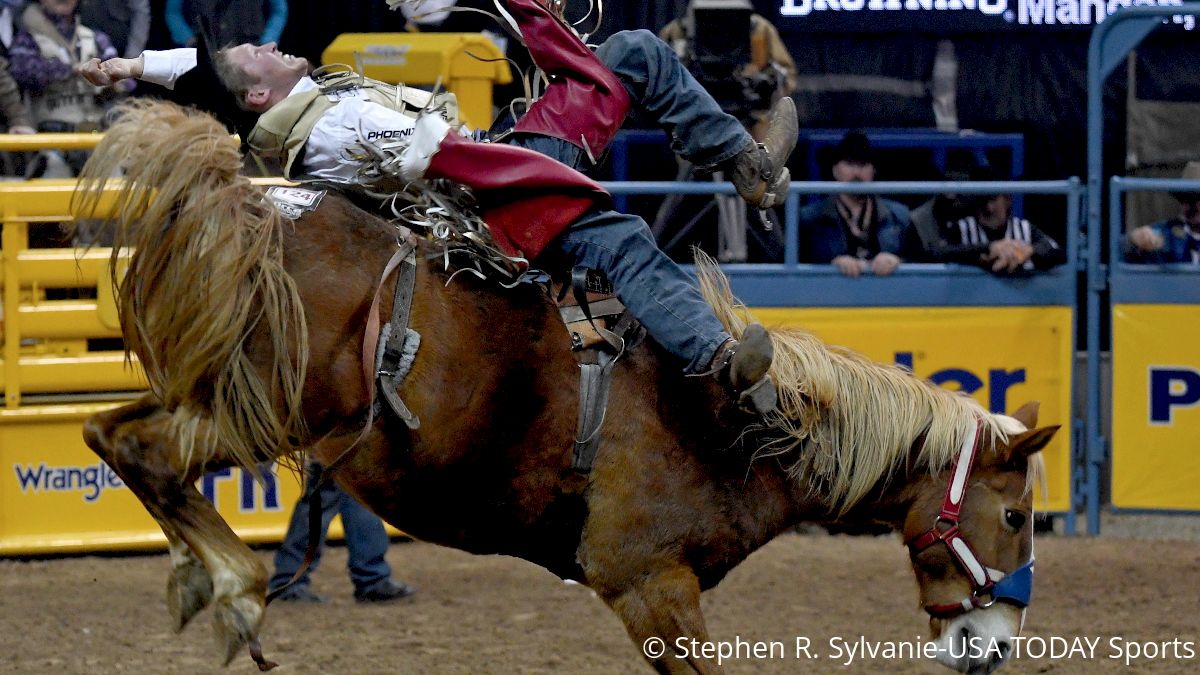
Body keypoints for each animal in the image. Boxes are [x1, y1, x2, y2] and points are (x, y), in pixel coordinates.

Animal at [75, 100, 1056, 672]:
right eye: (1014, 514)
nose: (991, 644)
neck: (739, 425)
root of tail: (242, 202)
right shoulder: (648, 581)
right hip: (284, 409)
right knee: (141, 447)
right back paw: (238, 588)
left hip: (233, 400)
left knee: (112, 433)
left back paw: (207, 581)